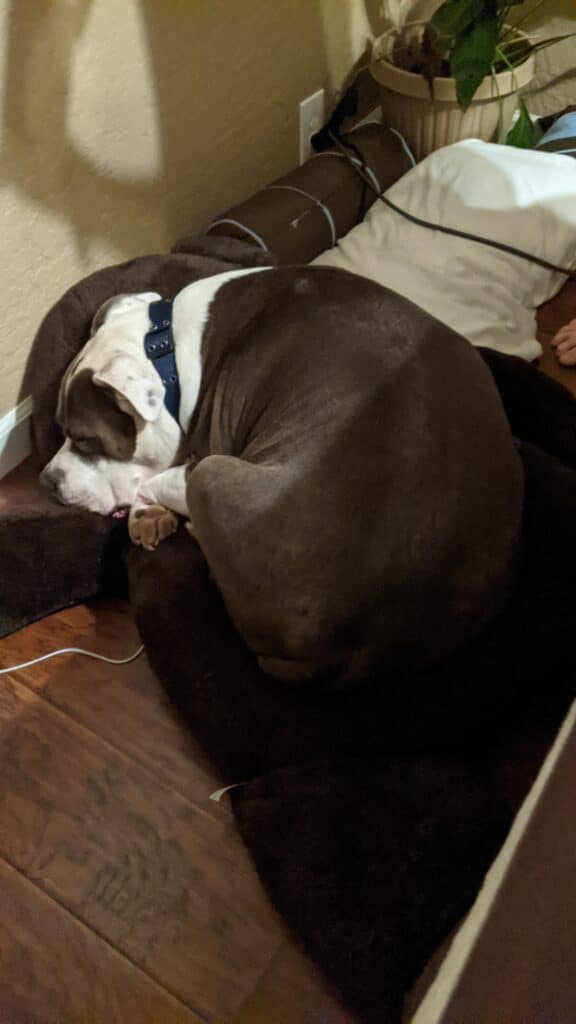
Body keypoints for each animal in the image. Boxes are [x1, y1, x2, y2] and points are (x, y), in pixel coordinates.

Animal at [42, 264, 522, 684]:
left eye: (83, 438)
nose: (47, 480)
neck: (167, 352)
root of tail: (365, 642)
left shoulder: (203, 457)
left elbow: (153, 478)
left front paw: (146, 510)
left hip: (214, 476)